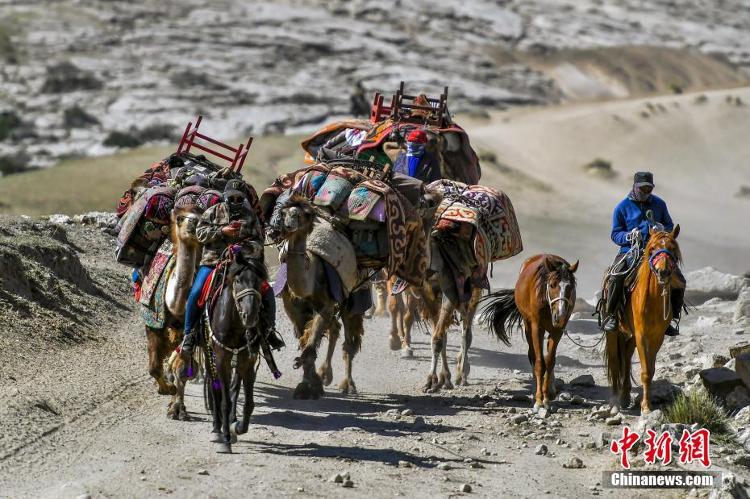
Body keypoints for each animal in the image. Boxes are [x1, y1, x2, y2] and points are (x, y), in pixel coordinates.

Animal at [203, 254, 268, 454]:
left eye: (260, 281)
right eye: (238, 281)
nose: (250, 315)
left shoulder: (247, 362)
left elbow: (248, 403)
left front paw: (237, 427)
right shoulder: (221, 361)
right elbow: (224, 400)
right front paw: (225, 439)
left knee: (233, 389)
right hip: (209, 356)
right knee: (215, 390)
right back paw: (216, 429)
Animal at [482, 256, 580, 412]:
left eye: (570, 287)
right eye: (552, 285)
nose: (560, 315)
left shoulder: (557, 331)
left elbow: (550, 361)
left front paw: (547, 397)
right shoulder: (536, 328)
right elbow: (540, 362)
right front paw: (539, 400)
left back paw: (550, 389)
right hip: (528, 325)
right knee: (532, 355)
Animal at [608, 227, 684, 414]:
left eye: (672, 249)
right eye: (653, 249)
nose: (663, 272)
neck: (652, 300)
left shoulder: (657, 337)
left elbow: (651, 370)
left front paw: (646, 404)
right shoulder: (641, 335)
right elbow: (645, 372)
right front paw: (646, 407)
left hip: (631, 334)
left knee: (627, 353)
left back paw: (625, 396)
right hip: (615, 333)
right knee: (615, 361)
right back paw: (615, 402)